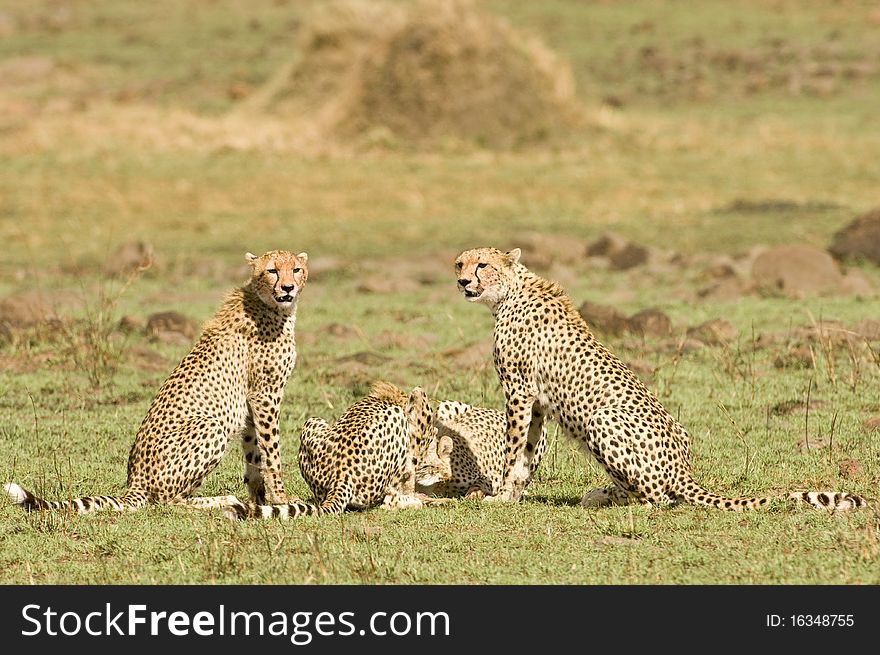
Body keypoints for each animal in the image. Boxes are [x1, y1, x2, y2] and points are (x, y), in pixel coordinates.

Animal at [5, 250, 310, 512]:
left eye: (296, 269)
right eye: (272, 270)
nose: (287, 288)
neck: (269, 305)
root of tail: (135, 482)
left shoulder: (250, 401)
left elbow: (254, 455)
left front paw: (260, 500)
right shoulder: (265, 395)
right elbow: (271, 452)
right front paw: (281, 499)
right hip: (210, 425)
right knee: (167, 500)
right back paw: (222, 501)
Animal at [458, 247, 868, 512]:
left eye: (483, 264)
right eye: (460, 263)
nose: (462, 282)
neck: (509, 291)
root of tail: (684, 467)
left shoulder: (518, 392)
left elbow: (513, 448)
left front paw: (499, 495)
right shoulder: (537, 401)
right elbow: (527, 450)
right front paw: (513, 494)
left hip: (602, 419)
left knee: (659, 499)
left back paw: (614, 501)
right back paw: (603, 495)